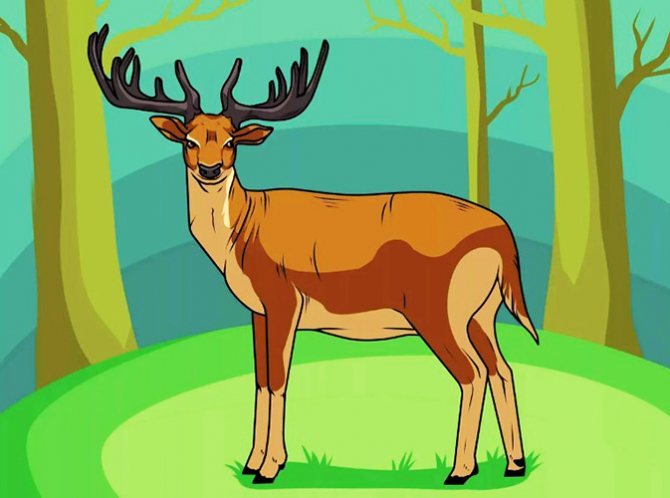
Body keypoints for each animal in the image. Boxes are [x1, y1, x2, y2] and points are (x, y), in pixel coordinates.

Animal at [88, 24, 539, 485]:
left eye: (231, 141)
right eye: (190, 140)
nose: (210, 170)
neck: (242, 233)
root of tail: (500, 232)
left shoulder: (283, 298)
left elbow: (278, 379)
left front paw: (269, 468)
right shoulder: (258, 310)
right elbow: (259, 378)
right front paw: (252, 462)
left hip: (437, 310)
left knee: (473, 374)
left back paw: (460, 470)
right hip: (482, 312)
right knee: (502, 369)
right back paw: (514, 463)